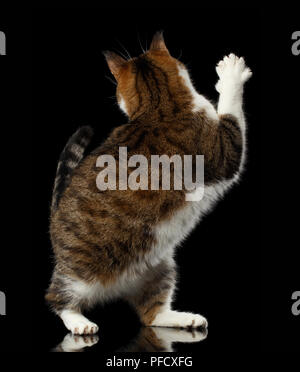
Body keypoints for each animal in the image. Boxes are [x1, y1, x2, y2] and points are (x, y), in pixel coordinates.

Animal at [45, 31, 252, 334]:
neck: (160, 105)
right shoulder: (226, 150)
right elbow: (232, 112)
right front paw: (231, 74)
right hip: (78, 272)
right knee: (57, 297)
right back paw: (79, 322)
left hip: (160, 267)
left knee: (151, 315)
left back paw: (183, 318)